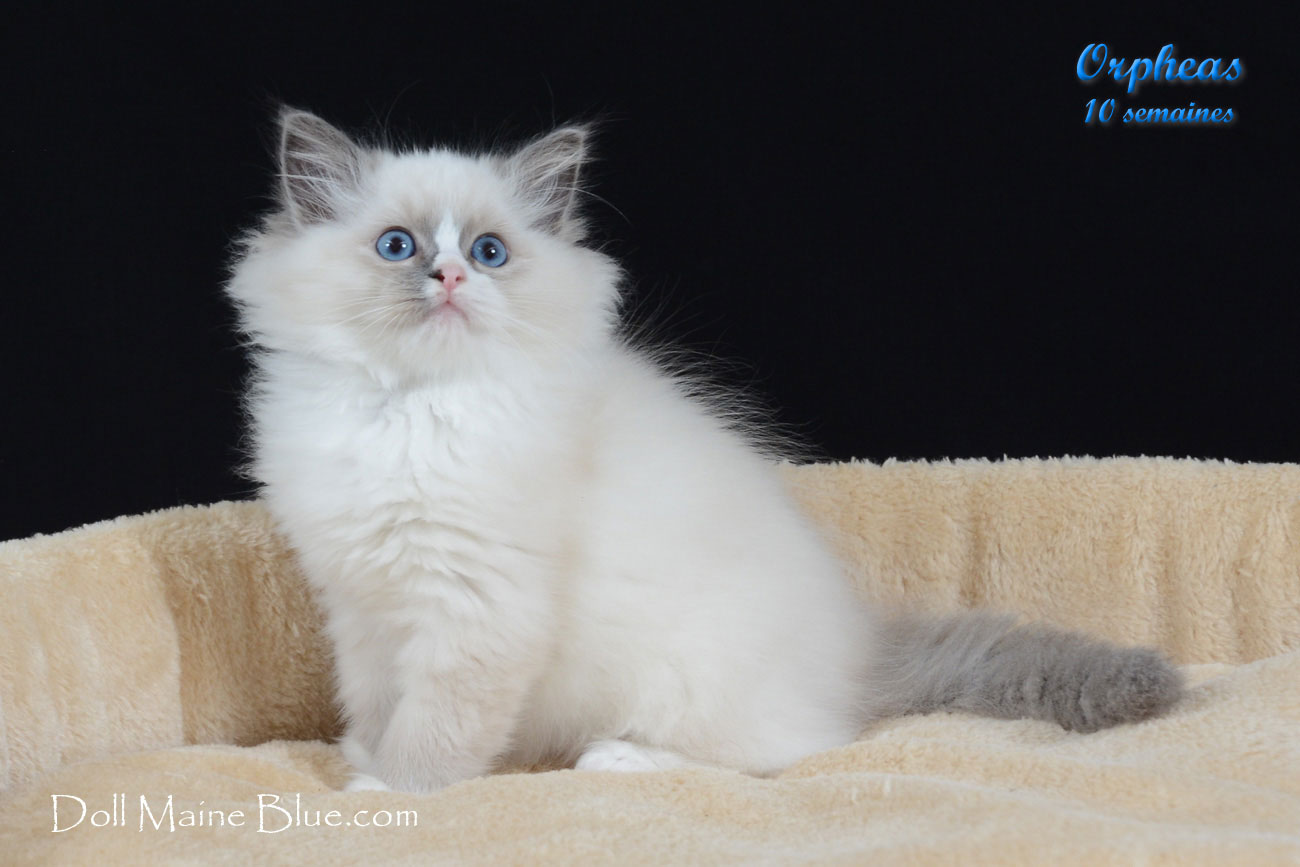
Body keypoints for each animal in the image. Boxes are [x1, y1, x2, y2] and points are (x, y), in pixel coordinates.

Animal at [225, 108, 1183, 793]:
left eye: (490, 252)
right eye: (399, 246)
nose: (453, 277)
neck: (409, 409)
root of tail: (860, 658)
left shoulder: (479, 608)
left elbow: (436, 727)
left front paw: (391, 792)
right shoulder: (363, 602)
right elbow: (377, 700)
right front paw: (359, 755)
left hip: (685, 678)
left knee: (786, 753)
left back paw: (617, 759)